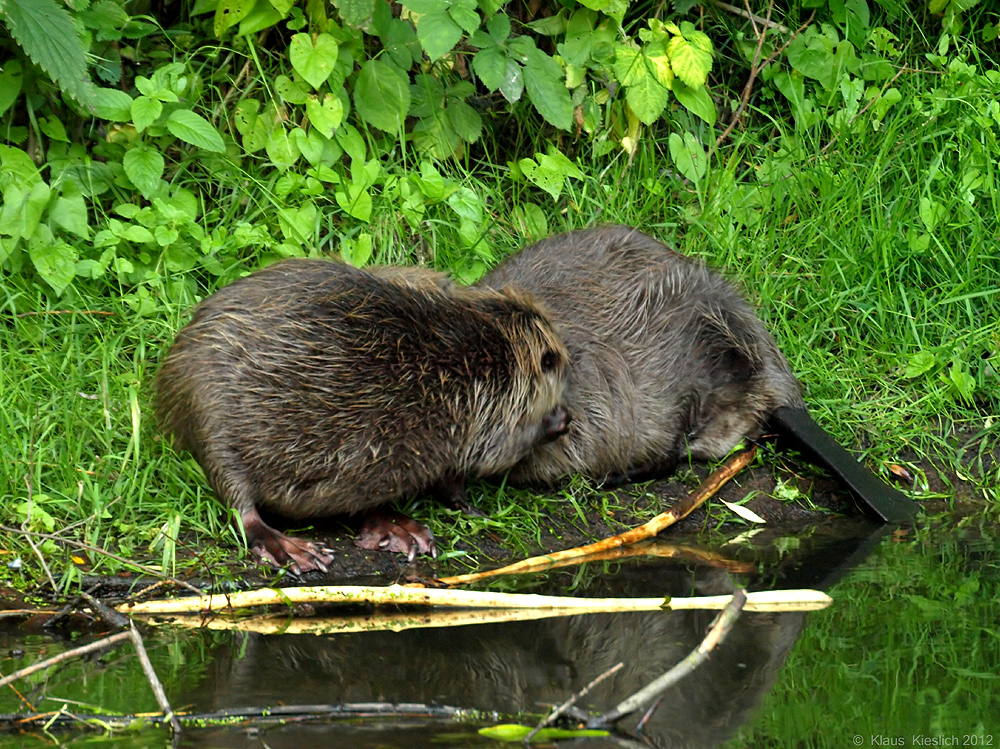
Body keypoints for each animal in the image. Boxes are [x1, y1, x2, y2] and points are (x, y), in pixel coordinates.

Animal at [156, 258, 572, 572]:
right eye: (554, 361)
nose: (564, 412)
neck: (478, 346)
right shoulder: (488, 410)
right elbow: (486, 459)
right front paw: (557, 420)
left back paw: (400, 532)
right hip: (210, 423)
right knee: (240, 505)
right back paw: (295, 551)